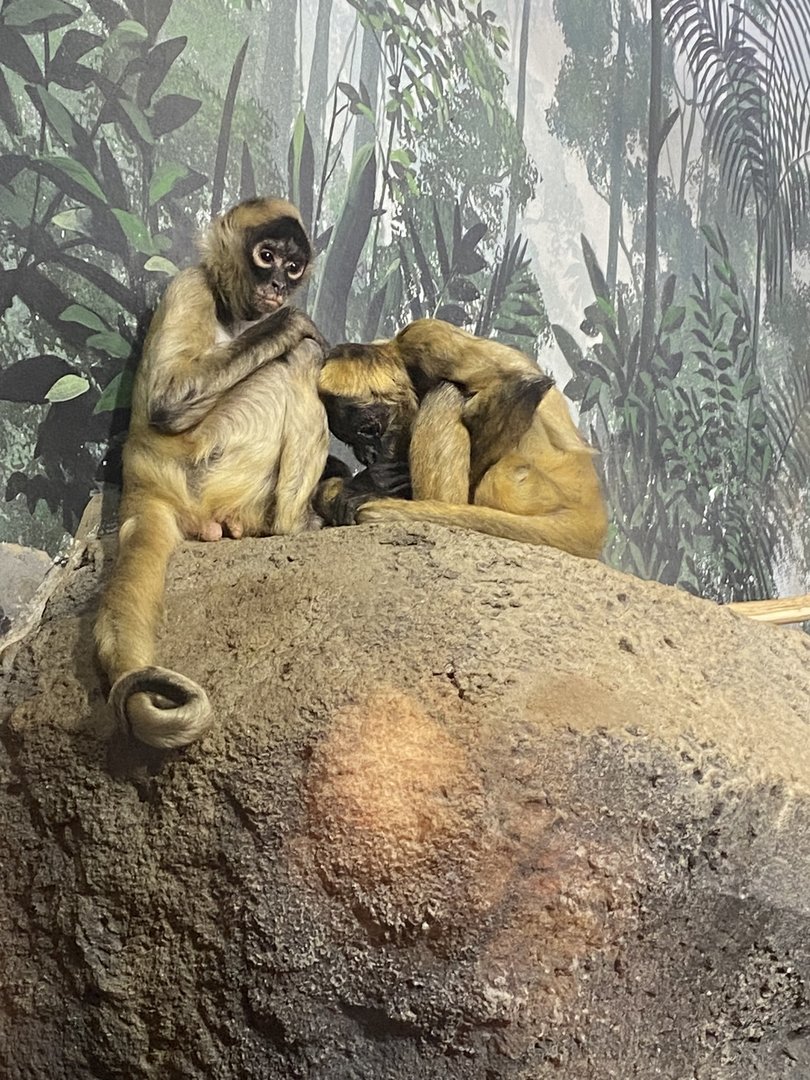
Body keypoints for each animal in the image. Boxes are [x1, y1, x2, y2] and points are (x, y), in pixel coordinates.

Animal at [94, 196, 328, 750]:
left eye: (294, 266)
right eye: (267, 256)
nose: (278, 286)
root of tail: (146, 482)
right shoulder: (190, 284)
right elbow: (166, 402)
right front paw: (291, 322)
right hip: (207, 461)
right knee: (300, 357)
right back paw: (291, 525)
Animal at [316, 319, 608, 559]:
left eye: (368, 430)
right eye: (352, 443)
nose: (368, 456)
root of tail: (593, 517)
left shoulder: (426, 337)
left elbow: (523, 382)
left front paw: (371, 486)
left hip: (523, 485)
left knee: (445, 395)